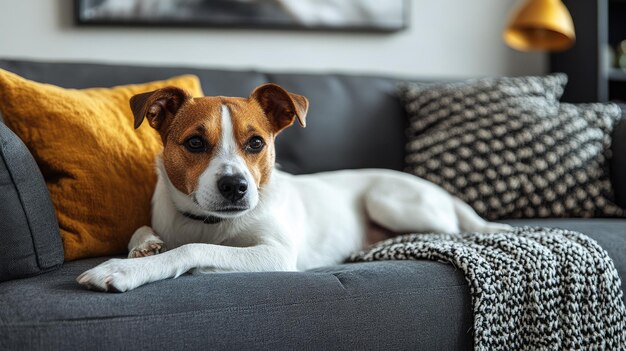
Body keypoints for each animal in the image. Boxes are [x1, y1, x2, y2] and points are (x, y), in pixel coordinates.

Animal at [75, 84, 510, 292]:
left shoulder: (276, 254)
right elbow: (144, 231)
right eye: (195, 143)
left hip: (392, 201)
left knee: (454, 229)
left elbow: (193, 249)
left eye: (256, 143)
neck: (207, 221)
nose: (235, 186)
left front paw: (123, 269)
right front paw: (144, 247)